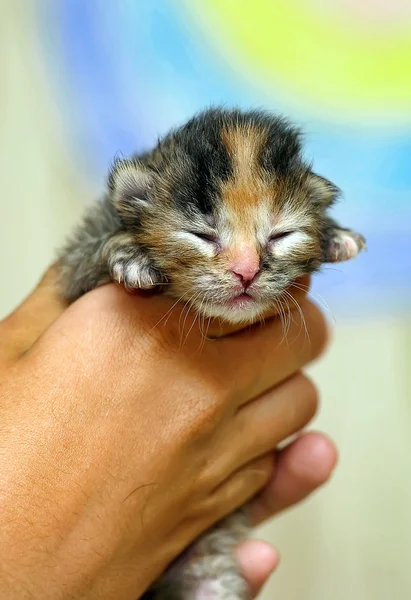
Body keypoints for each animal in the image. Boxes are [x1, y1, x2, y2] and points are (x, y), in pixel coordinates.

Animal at [57, 109, 366, 600]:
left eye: (280, 235)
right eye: (201, 235)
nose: (246, 271)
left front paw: (336, 235)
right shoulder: (72, 266)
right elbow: (94, 250)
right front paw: (128, 252)